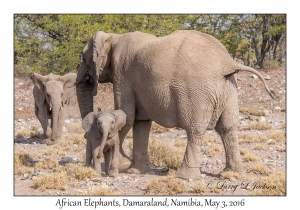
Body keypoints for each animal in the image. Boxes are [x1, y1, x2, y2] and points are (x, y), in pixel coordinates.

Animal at [75, 30, 274, 180]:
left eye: (84, 59)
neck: (113, 37)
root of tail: (227, 62)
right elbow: (141, 122)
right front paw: (136, 171)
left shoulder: (122, 75)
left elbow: (127, 116)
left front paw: (123, 165)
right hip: (229, 88)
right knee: (228, 127)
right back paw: (233, 174)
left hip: (197, 91)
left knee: (195, 129)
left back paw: (185, 177)